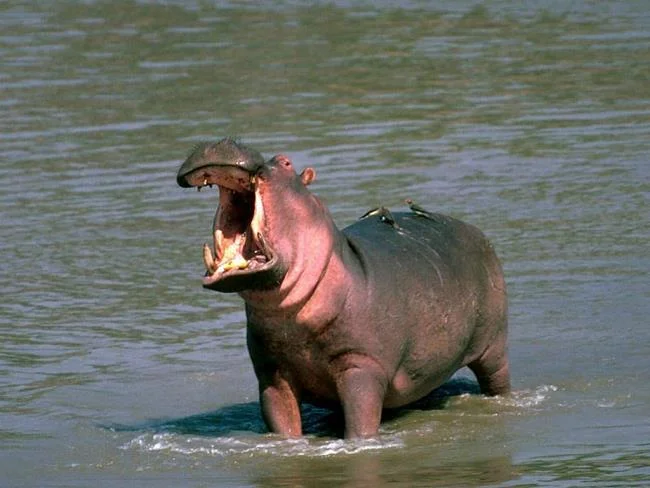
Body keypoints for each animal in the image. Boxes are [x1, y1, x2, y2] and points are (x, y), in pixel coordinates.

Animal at [176, 138, 510, 438]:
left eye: (286, 162)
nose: (220, 141)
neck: (287, 314)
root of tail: (474, 230)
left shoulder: (361, 365)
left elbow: (360, 423)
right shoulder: (272, 373)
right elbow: (283, 423)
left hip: (494, 344)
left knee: (496, 377)